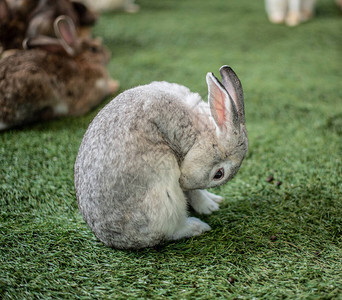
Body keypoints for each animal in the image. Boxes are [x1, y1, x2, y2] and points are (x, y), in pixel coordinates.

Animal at [74, 66, 248, 251]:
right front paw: (208, 207)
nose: (182, 183)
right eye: (219, 174)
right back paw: (197, 226)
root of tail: (112, 240)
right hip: (165, 193)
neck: (200, 132)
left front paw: (212, 204)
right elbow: (193, 192)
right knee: (169, 232)